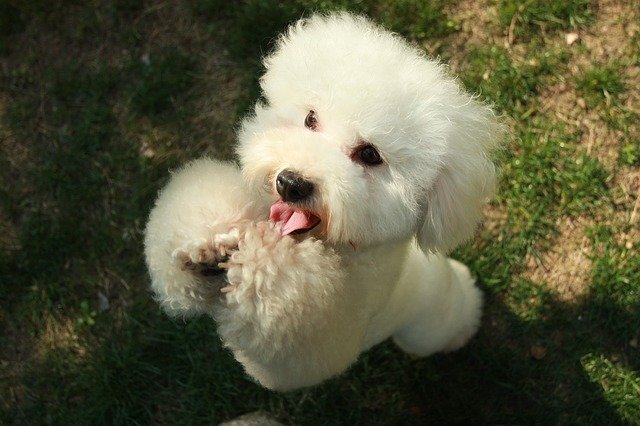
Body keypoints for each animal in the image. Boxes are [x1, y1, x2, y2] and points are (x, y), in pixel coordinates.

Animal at [145, 13, 500, 392]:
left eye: (370, 155)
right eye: (310, 119)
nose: (290, 183)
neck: (336, 247)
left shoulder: (316, 344)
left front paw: (259, 259)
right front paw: (206, 245)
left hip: (426, 330)